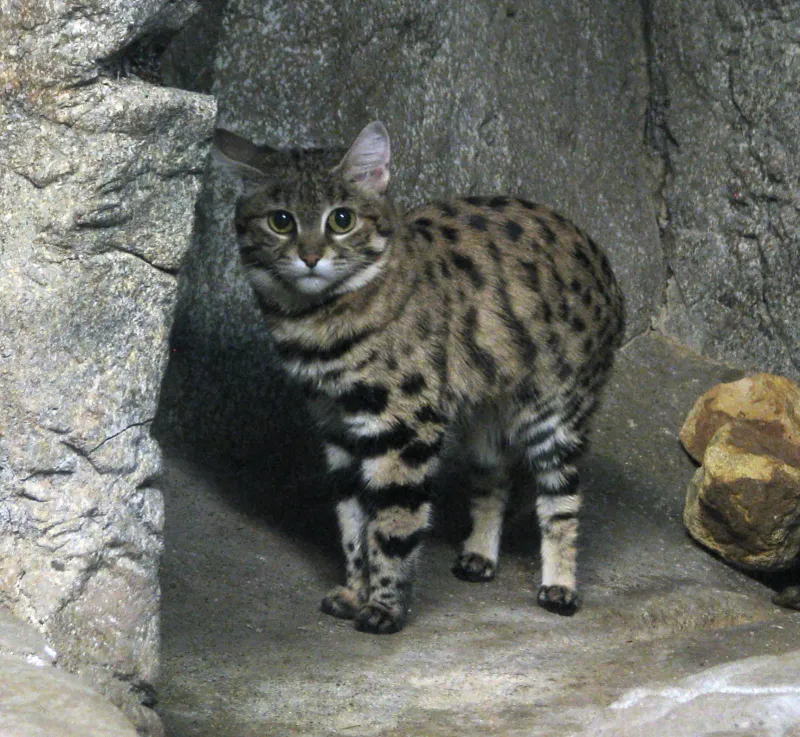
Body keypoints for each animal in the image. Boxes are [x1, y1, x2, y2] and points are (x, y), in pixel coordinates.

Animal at [212, 119, 624, 632]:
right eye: (281, 221)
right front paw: (355, 591)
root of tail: (602, 260)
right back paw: (479, 555)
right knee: (495, 480)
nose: (310, 257)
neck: (316, 323)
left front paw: (384, 608)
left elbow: (392, 525)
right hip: (485, 418)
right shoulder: (338, 428)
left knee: (561, 500)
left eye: (341, 219)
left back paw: (560, 585)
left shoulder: (405, 427)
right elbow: (353, 524)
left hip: (556, 413)